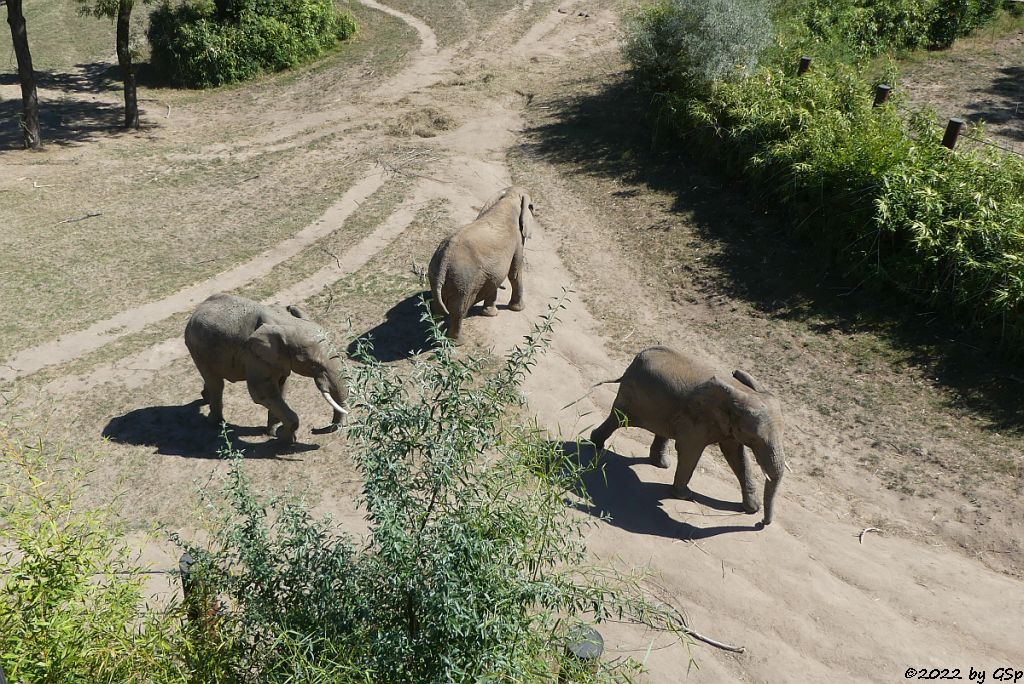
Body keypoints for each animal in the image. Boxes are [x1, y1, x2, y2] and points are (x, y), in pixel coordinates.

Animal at [182, 292, 346, 444]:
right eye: (313, 365)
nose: (314, 429)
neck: (288, 323)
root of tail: (197, 309)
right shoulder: (253, 355)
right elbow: (262, 393)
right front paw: (283, 438)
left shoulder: (278, 359)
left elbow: (281, 387)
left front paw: (273, 432)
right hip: (195, 346)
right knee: (216, 383)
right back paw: (215, 423)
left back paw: (204, 398)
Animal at [425, 184, 540, 344]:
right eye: (532, 206)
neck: (509, 198)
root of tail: (444, 260)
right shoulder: (517, 240)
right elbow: (515, 272)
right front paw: (518, 309)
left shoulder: (491, 268)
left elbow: (495, 279)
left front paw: (490, 314)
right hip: (463, 281)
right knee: (458, 311)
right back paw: (458, 342)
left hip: (436, 274)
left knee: (439, 309)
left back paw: (438, 335)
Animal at [589, 348, 786, 528]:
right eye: (754, 439)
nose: (760, 523)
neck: (743, 392)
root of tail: (638, 356)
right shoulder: (697, 419)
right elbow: (690, 450)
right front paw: (684, 495)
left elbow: (736, 456)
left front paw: (752, 508)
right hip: (633, 393)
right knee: (619, 419)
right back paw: (595, 444)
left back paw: (661, 464)